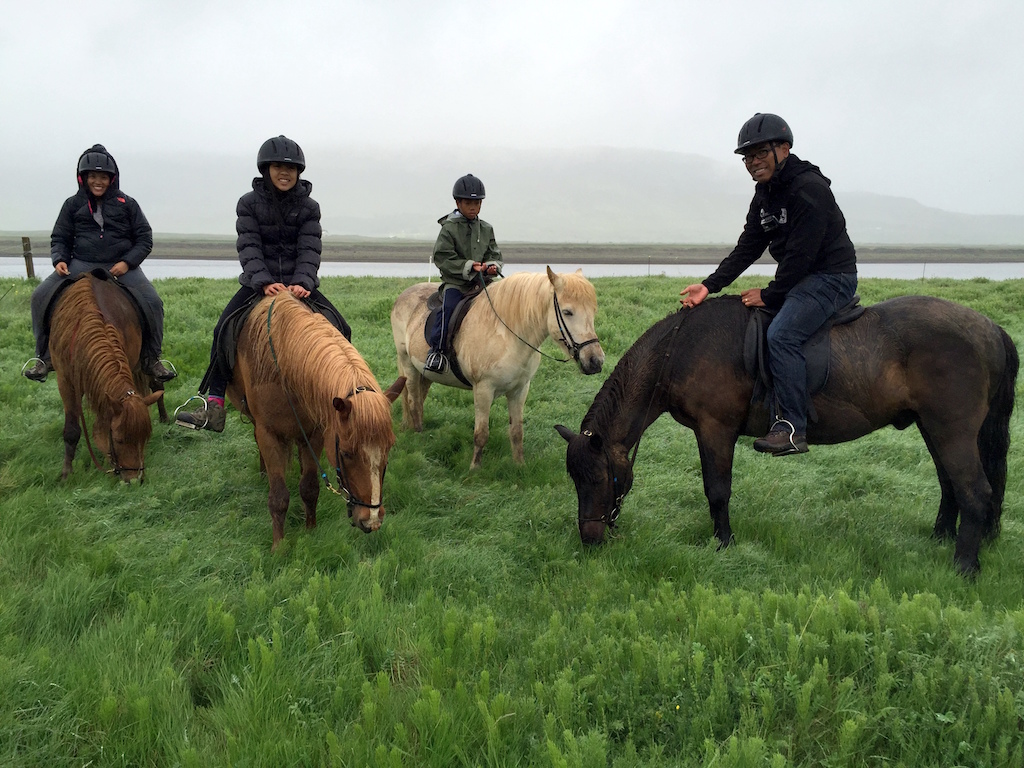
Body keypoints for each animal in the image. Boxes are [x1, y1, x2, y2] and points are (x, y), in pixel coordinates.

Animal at [48, 274, 166, 483]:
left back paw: (165, 417)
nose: (135, 480)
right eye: (119, 439)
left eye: (144, 437)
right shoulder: (65, 381)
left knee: (156, 383)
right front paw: (66, 473)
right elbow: (72, 430)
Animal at [230, 290, 405, 548]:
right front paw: (279, 546)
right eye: (346, 453)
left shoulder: (315, 433)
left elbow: (310, 486)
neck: (283, 366)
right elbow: (279, 496)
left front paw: (310, 531)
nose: (371, 520)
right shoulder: (268, 433)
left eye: (388, 448)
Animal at [389, 268, 598, 473]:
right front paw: (475, 468)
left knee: (420, 397)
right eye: (567, 312)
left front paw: (519, 464)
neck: (508, 335)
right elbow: (481, 433)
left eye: (593, 311)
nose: (595, 361)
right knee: (413, 399)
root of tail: (404, 294)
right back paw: (418, 434)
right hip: (407, 363)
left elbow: (517, 431)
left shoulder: (520, 390)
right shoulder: (483, 389)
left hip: (424, 372)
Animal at [557, 294, 1019, 577]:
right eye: (573, 481)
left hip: (952, 430)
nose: (590, 539)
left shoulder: (715, 429)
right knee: (951, 484)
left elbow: (717, 491)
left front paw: (724, 543)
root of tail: (990, 328)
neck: (681, 348)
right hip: (933, 427)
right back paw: (941, 538)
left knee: (975, 491)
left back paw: (964, 566)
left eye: (598, 478)